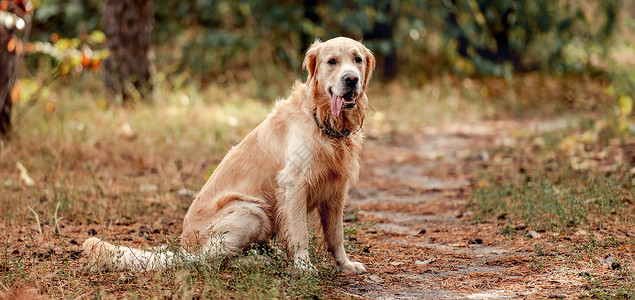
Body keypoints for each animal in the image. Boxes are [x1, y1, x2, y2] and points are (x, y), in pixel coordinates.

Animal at [82, 36, 376, 274]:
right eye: (332, 62)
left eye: (357, 59)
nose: (351, 79)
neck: (322, 119)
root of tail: (185, 247)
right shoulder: (294, 185)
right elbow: (300, 234)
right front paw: (304, 266)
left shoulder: (336, 190)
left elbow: (336, 235)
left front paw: (345, 265)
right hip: (250, 210)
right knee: (211, 261)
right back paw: (258, 261)